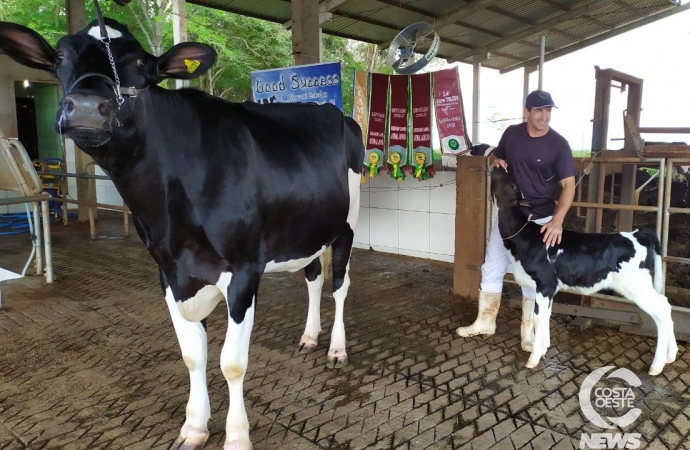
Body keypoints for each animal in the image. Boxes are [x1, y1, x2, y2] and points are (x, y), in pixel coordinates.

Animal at [0, 17, 362, 450]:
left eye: (140, 62)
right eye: (58, 57)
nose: (86, 107)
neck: (172, 218)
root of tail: (330, 110)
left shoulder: (244, 269)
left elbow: (231, 363)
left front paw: (236, 437)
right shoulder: (170, 272)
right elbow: (193, 354)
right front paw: (194, 427)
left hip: (347, 225)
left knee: (340, 284)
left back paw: (337, 348)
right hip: (306, 231)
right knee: (313, 277)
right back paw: (309, 337)